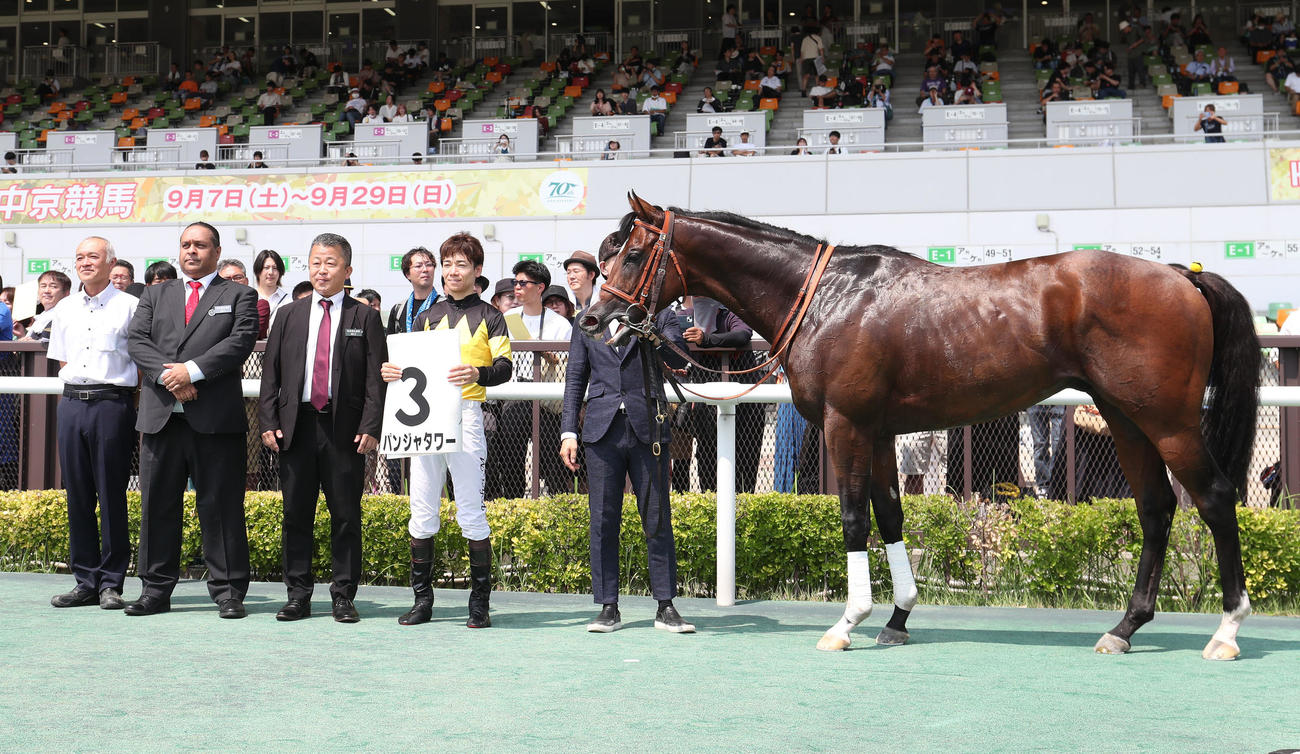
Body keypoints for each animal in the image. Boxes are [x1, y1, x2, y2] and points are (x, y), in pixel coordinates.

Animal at [579, 193, 1261, 660]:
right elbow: (890, 514)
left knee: (1214, 497)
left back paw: (1226, 630)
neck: (827, 296)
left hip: (1167, 421)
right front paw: (898, 618)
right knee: (1156, 509)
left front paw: (847, 622)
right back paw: (1124, 628)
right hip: (1126, 418)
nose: (594, 318)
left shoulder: (845, 424)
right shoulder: (880, 430)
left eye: (633, 254)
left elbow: (854, 516)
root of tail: (1183, 275)